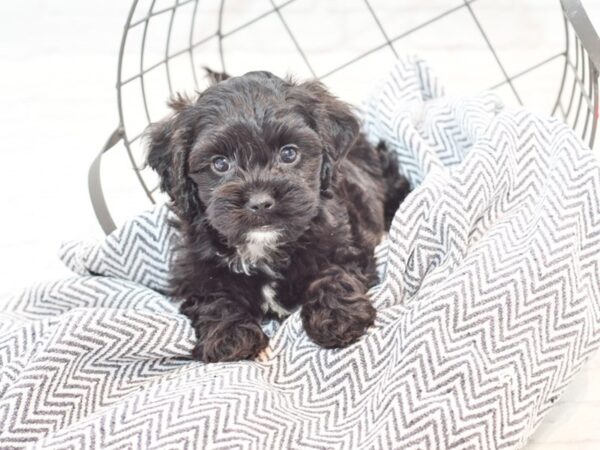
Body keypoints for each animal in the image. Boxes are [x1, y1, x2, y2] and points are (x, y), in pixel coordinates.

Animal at [146, 72, 410, 364]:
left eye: (289, 153)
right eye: (220, 164)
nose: (260, 202)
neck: (264, 247)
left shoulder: (345, 242)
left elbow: (334, 273)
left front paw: (338, 315)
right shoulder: (194, 267)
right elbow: (212, 295)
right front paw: (230, 336)